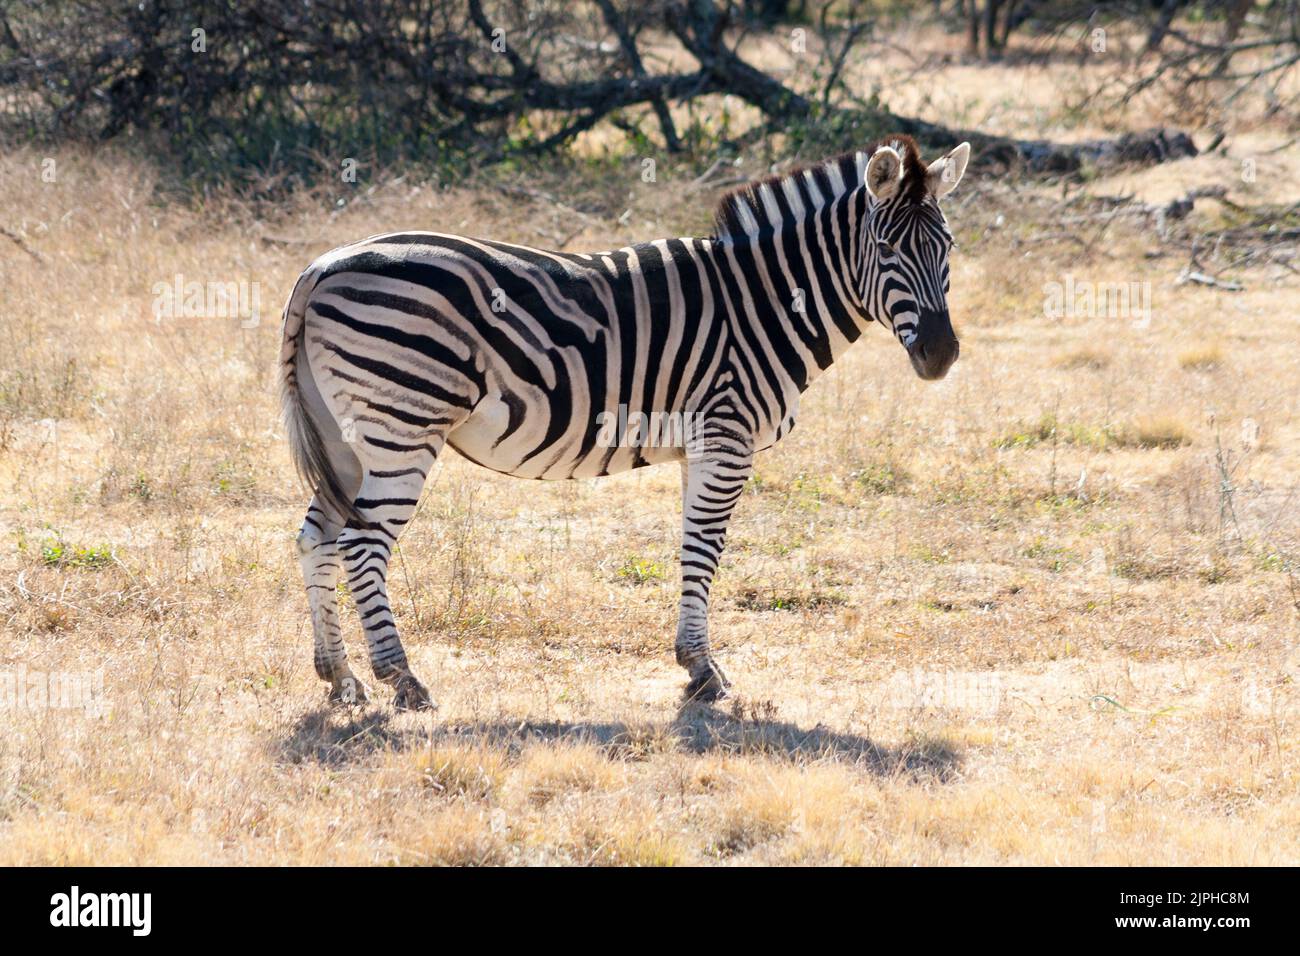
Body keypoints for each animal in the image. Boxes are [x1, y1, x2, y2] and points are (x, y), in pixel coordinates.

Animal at [284, 138, 972, 712]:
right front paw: (702, 672)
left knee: (316, 537)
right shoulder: (726, 436)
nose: (941, 355)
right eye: (885, 250)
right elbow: (703, 550)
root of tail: (323, 266)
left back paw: (340, 678)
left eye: (948, 249)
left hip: (349, 439)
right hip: (404, 425)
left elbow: (694, 547)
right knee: (361, 545)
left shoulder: (703, 446)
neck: (765, 304)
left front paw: (696, 663)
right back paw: (402, 680)